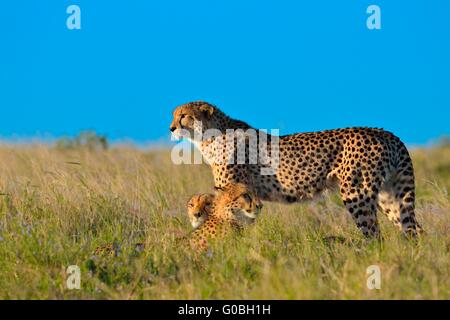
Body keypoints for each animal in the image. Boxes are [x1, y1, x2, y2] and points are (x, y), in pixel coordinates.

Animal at [171, 101, 424, 239]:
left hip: (357, 193)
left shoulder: (236, 193)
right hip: (388, 196)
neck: (208, 136)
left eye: (183, 116)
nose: (171, 128)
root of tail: (384, 132)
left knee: (374, 235)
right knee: (414, 230)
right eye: (173, 116)